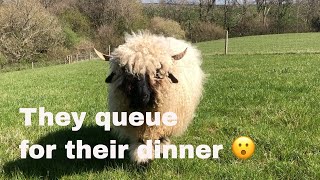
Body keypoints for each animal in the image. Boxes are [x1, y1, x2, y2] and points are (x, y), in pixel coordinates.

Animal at [94, 31, 205, 165]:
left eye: (157, 73)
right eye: (128, 74)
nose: (141, 97)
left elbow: (162, 136)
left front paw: (161, 149)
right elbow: (141, 140)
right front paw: (142, 159)